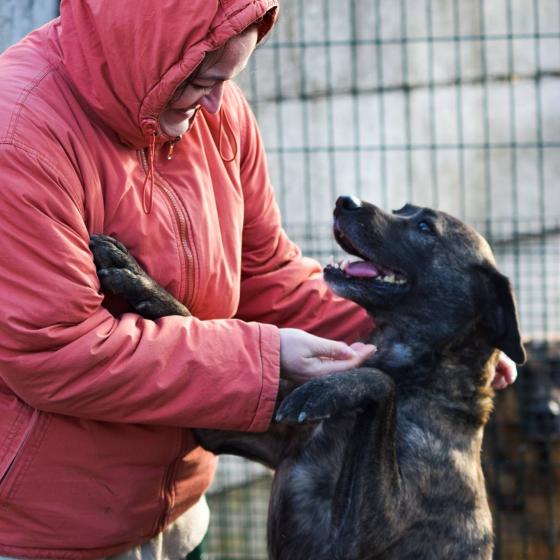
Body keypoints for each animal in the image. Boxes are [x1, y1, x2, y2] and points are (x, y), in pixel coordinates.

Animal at [90, 196, 526, 559]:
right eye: (402, 208)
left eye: (424, 228)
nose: (345, 201)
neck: (418, 383)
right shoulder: (229, 427)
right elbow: (190, 320)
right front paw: (139, 279)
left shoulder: (348, 542)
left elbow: (376, 382)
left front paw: (325, 390)